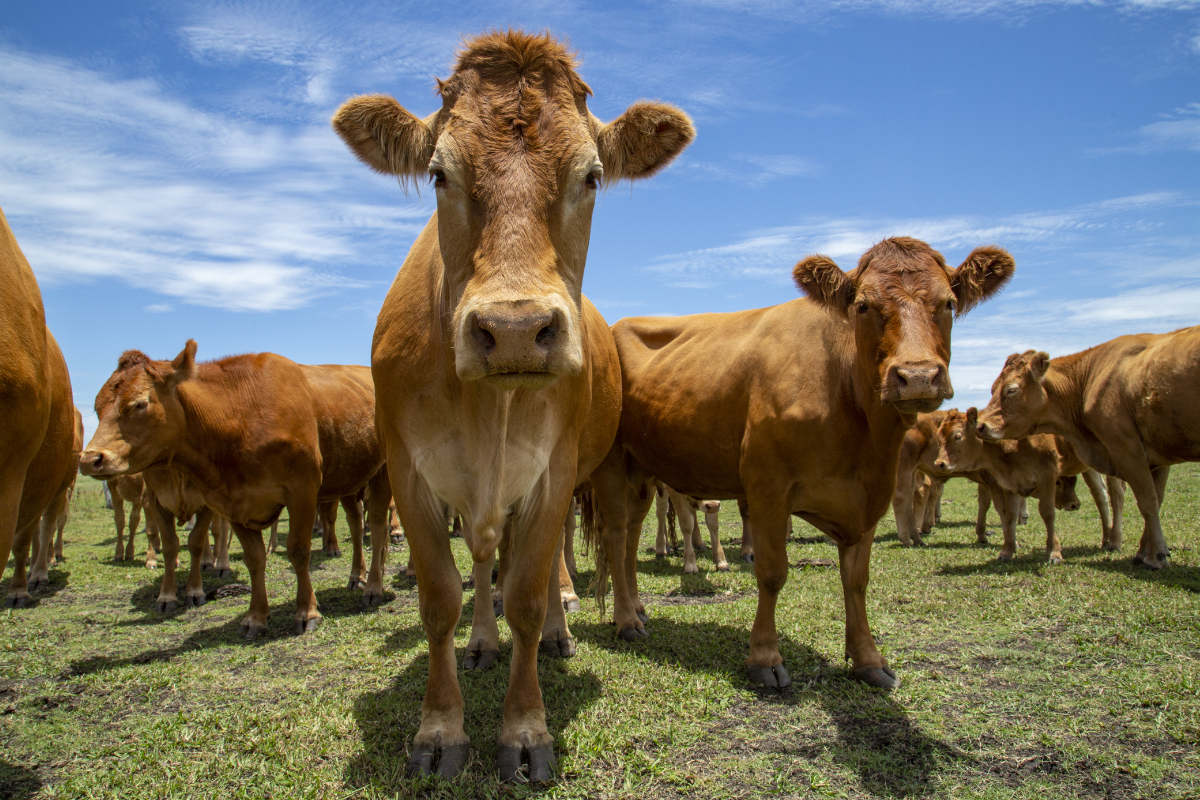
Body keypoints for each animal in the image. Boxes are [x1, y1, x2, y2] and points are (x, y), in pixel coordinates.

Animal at [80, 344, 390, 633]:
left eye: (139, 404)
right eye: (96, 407)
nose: (89, 459)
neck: (238, 414)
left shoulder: (302, 490)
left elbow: (298, 550)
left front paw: (307, 612)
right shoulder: (232, 502)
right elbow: (254, 559)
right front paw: (255, 617)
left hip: (382, 474)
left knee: (376, 527)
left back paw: (373, 587)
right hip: (350, 478)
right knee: (355, 524)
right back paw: (356, 576)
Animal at [331, 30, 693, 781]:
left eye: (591, 176)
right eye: (439, 173)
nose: (517, 329)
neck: (485, 411)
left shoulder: (554, 473)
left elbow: (525, 593)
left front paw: (526, 730)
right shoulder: (408, 473)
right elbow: (441, 598)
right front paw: (440, 729)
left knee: (574, 553)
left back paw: (569, 626)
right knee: (483, 559)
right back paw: (482, 642)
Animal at [585, 236, 1013, 691]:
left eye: (948, 303)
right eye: (863, 305)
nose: (917, 377)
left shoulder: (870, 495)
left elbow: (856, 580)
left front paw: (867, 659)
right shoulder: (768, 485)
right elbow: (773, 572)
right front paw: (764, 658)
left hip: (642, 468)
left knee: (632, 537)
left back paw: (635, 607)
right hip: (612, 463)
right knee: (615, 535)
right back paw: (626, 621)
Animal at [975, 336, 1200, 570]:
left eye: (1011, 389)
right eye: (992, 389)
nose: (980, 426)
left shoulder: (1127, 453)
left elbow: (1147, 502)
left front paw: (1155, 556)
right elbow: (1155, 499)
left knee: (1115, 496)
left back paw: (1116, 541)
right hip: (1092, 468)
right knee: (1102, 497)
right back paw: (1110, 540)